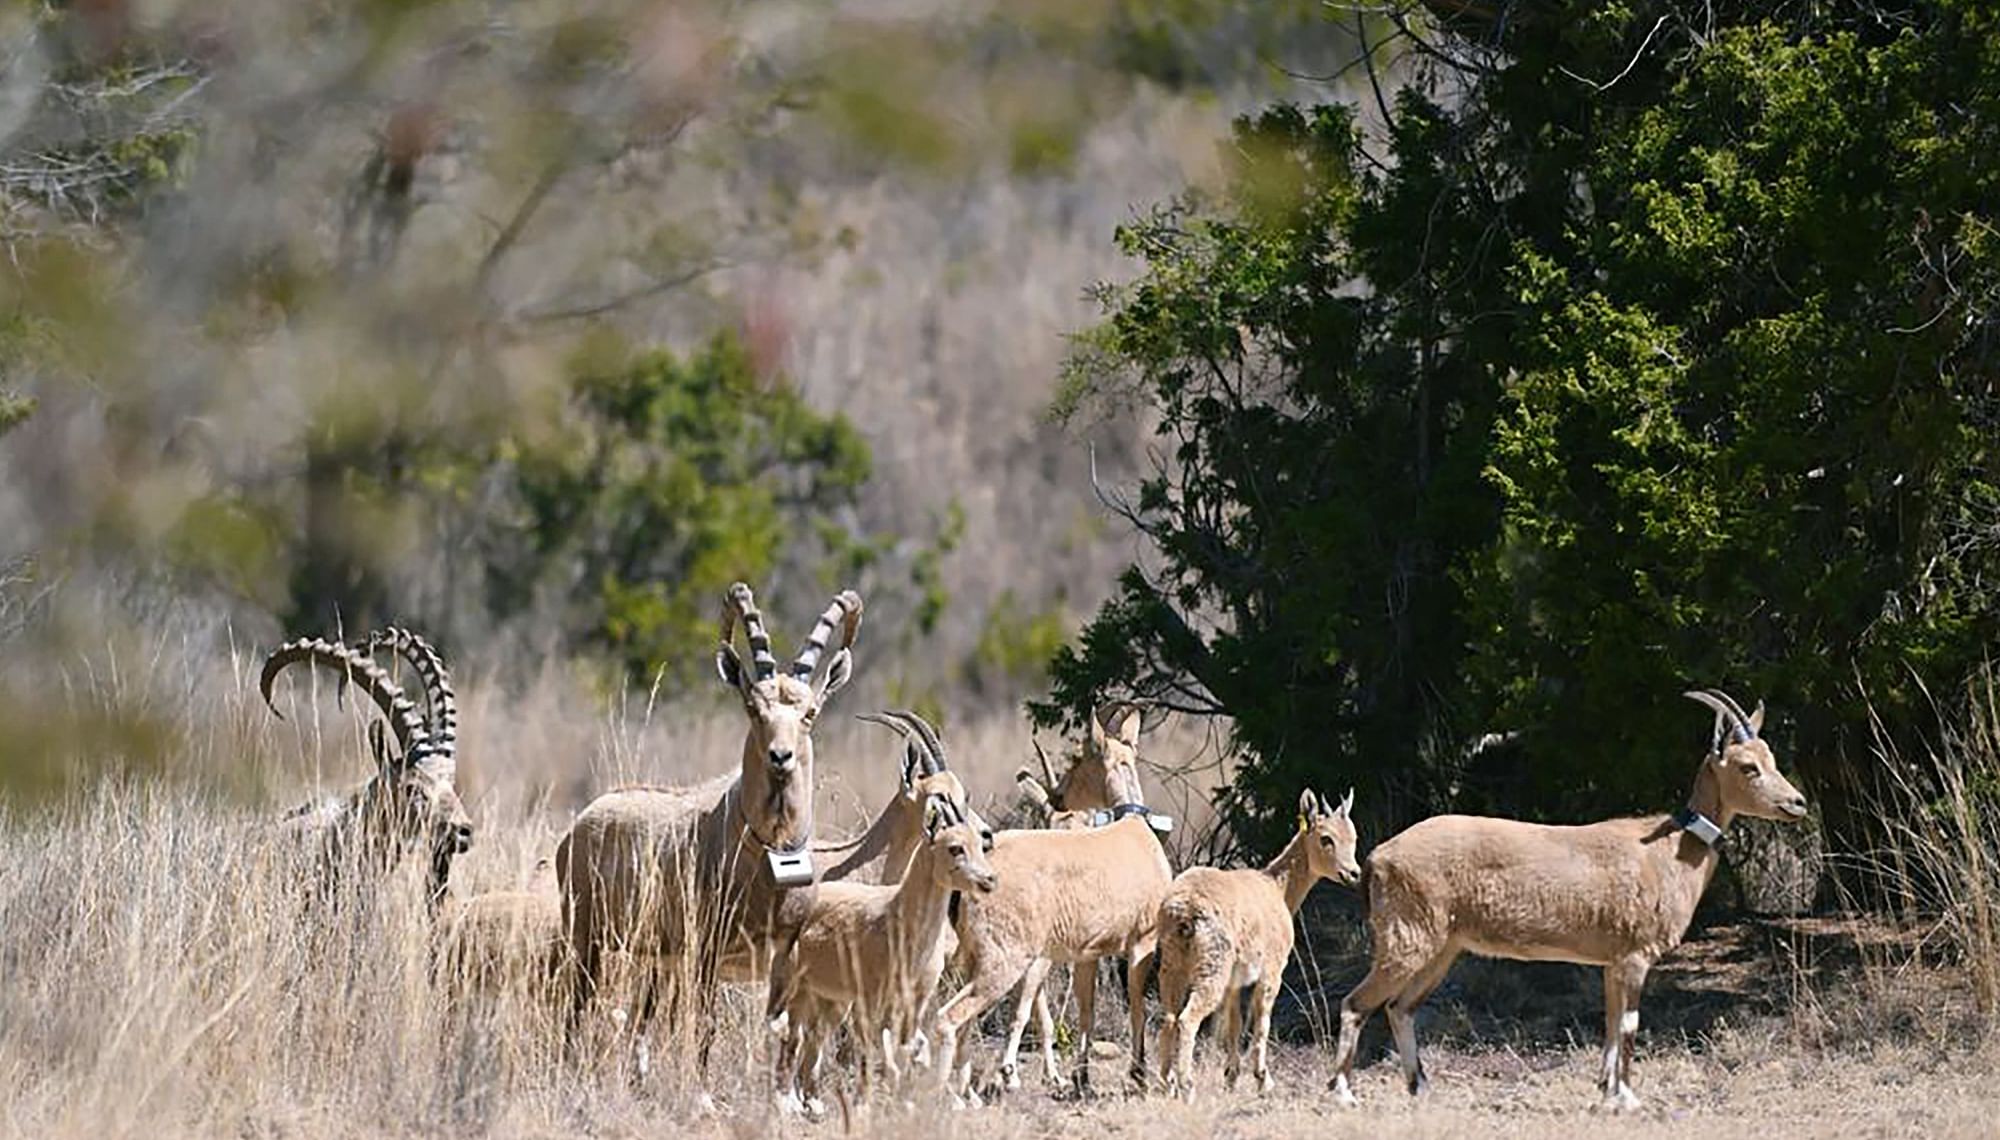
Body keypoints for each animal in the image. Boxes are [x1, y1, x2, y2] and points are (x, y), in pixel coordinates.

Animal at [1160, 784, 1360, 1096]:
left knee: (1168, 1019)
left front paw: (1231, 1077)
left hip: (1171, 966)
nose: (1353, 873)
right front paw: (1264, 1080)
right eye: (1326, 838)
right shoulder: (1272, 970)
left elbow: (1234, 1024)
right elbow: (1262, 1021)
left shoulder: (1234, 982)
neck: (1278, 889)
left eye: (1354, 836)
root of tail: (1185, 911)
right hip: (1211, 969)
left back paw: (1166, 1082)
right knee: (1187, 1019)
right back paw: (1187, 1086)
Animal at [1328, 688, 1816, 1104]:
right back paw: (1344, 1093)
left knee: (1399, 1007)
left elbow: (1611, 1022)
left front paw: (1605, 1091)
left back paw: (1421, 1087)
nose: (1797, 803)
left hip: (1442, 947)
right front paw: (1628, 1098)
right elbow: (1630, 1024)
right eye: (1748, 766)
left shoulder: (1612, 960)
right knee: (1356, 1004)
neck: (1667, 853)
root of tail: (1378, 857)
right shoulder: (1636, 954)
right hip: (1408, 936)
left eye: (1772, 759)